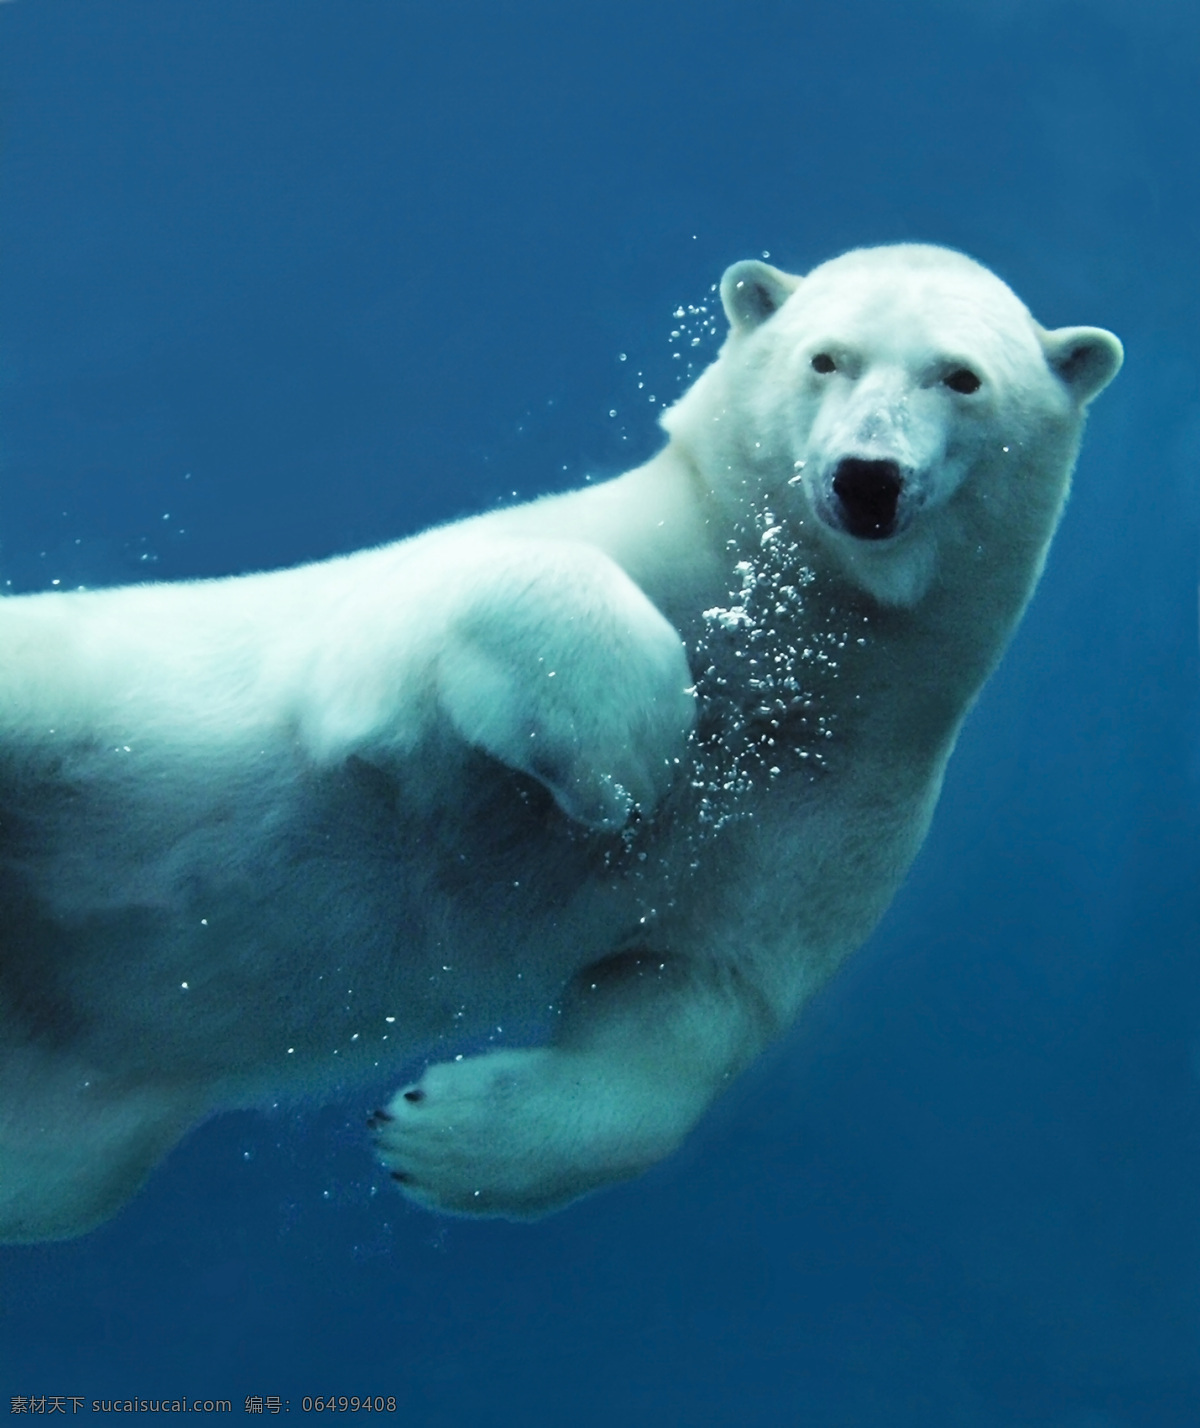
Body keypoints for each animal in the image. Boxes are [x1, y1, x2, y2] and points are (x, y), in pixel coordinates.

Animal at [2, 245, 1125, 1239]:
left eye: (962, 376)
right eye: (826, 357)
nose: (867, 477)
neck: (791, 645)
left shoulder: (846, 795)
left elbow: (692, 999)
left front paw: (436, 1136)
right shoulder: (459, 597)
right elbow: (441, 623)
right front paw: (631, 751)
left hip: (80, 1130)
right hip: (73, 698)